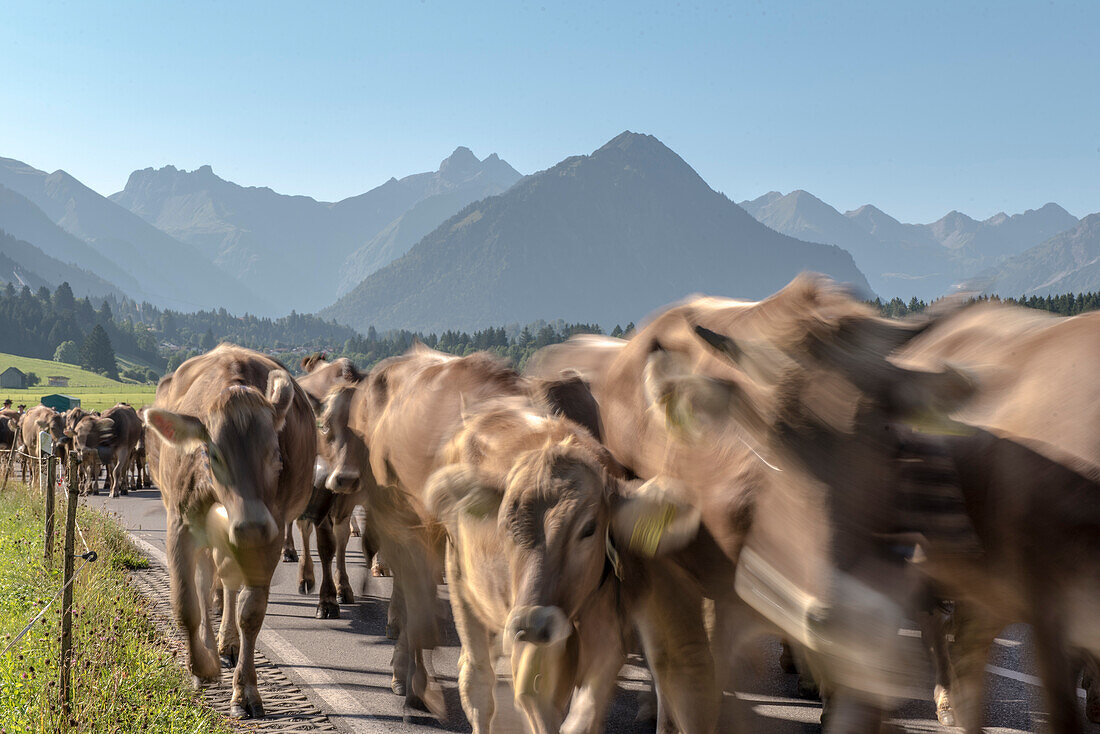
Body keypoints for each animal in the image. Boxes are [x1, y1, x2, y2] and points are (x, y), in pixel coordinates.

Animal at [141, 345, 314, 717]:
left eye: (276, 454)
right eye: (214, 454)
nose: (251, 525)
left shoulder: (271, 534)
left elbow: (250, 612)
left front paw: (245, 690)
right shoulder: (180, 525)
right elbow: (186, 604)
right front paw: (201, 668)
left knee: (227, 583)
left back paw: (228, 642)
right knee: (207, 583)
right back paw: (210, 644)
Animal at [424, 398, 717, 730]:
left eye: (589, 528)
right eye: (505, 526)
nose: (533, 624)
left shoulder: (607, 642)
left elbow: (584, 714)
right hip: (459, 577)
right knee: (476, 679)